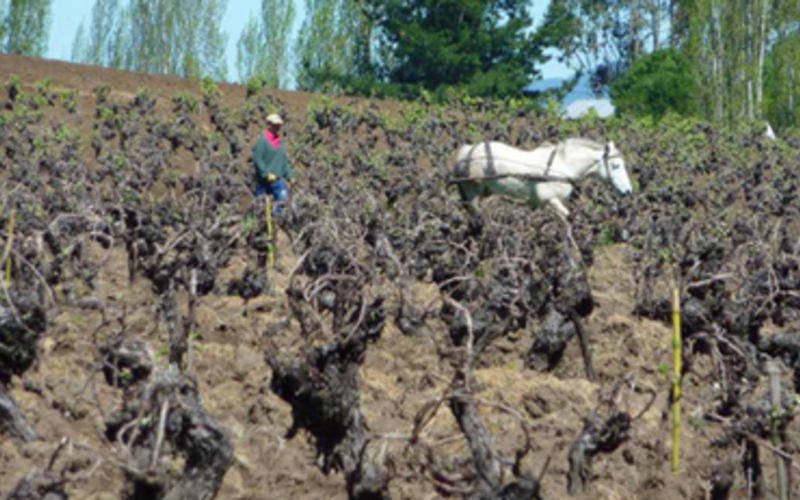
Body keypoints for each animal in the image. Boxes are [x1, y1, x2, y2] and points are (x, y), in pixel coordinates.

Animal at [450, 137, 632, 217]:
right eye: (616, 165)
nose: (628, 191)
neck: (563, 165)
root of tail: (468, 150)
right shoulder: (552, 201)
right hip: (473, 192)